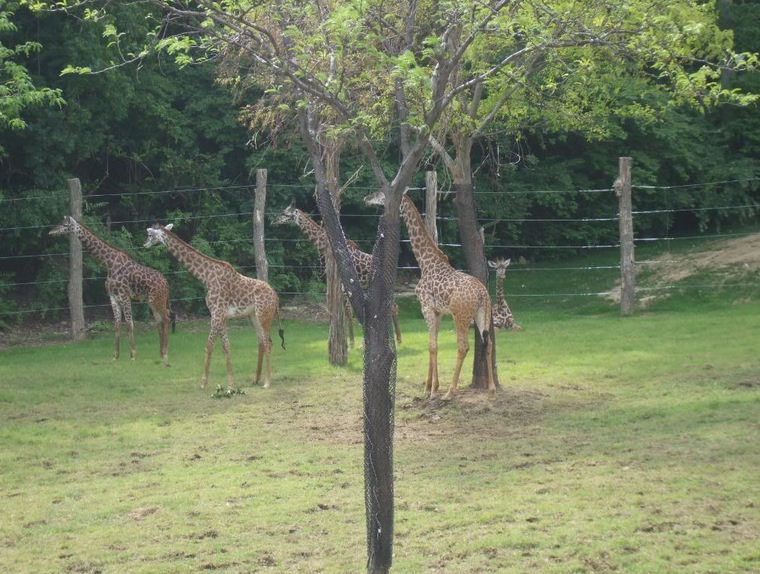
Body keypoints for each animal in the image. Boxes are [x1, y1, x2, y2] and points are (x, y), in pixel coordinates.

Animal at [49, 216, 170, 365]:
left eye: (65, 225)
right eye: (61, 223)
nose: (51, 231)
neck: (108, 263)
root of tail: (166, 283)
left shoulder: (124, 296)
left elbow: (129, 323)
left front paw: (133, 355)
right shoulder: (113, 297)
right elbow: (117, 325)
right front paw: (115, 356)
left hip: (157, 300)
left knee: (166, 318)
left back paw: (165, 354)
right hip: (152, 301)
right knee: (160, 321)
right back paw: (161, 353)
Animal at [144, 223, 283, 389]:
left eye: (150, 235)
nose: (144, 244)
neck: (206, 277)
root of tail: (276, 296)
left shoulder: (216, 314)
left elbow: (209, 346)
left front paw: (203, 383)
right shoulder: (221, 316)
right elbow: (226, 347)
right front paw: (231, 384)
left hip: (264, 315)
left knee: (268, 342)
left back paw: (267, 382)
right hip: (253, 316)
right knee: (262, 342)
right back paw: (256, 379)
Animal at [273, 203, 402, 345]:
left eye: (287, 214)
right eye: (283, 211)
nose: (274, 220)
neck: (324, 247)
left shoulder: (342, 284)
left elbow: (347, 312)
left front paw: (351, 343)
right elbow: (344, 313)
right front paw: (347, 342)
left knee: (394, 306)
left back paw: (399, 339)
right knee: (391, 307)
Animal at [364, 191, 496, 399]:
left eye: (379, 193)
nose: (366, 199)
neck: (425, 263)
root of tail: (483, 293)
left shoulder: (426, 307)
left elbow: (432, 345)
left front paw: (433, 390)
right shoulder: (438, 311)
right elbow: (434, 345)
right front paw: (429, 387)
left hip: (461, 316)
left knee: (463, 346)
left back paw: (450, 391)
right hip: (482, 313)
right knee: (487, 342)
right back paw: (491, 388)